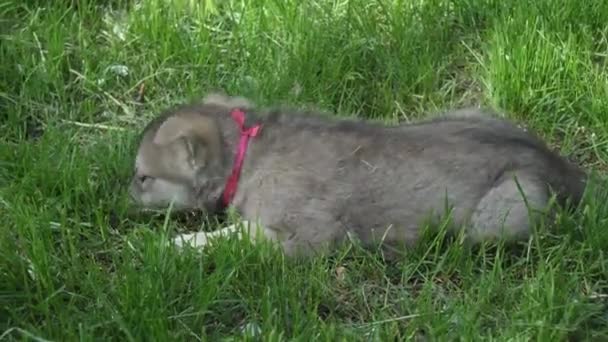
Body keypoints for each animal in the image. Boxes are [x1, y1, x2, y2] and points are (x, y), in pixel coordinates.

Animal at [129, 92, 588, 258]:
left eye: (142, 178)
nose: (123, 199)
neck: (244, 155)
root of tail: (567, 170)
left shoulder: (303, 237)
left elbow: (230, 236)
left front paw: (173, 244)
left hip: (500, 215)